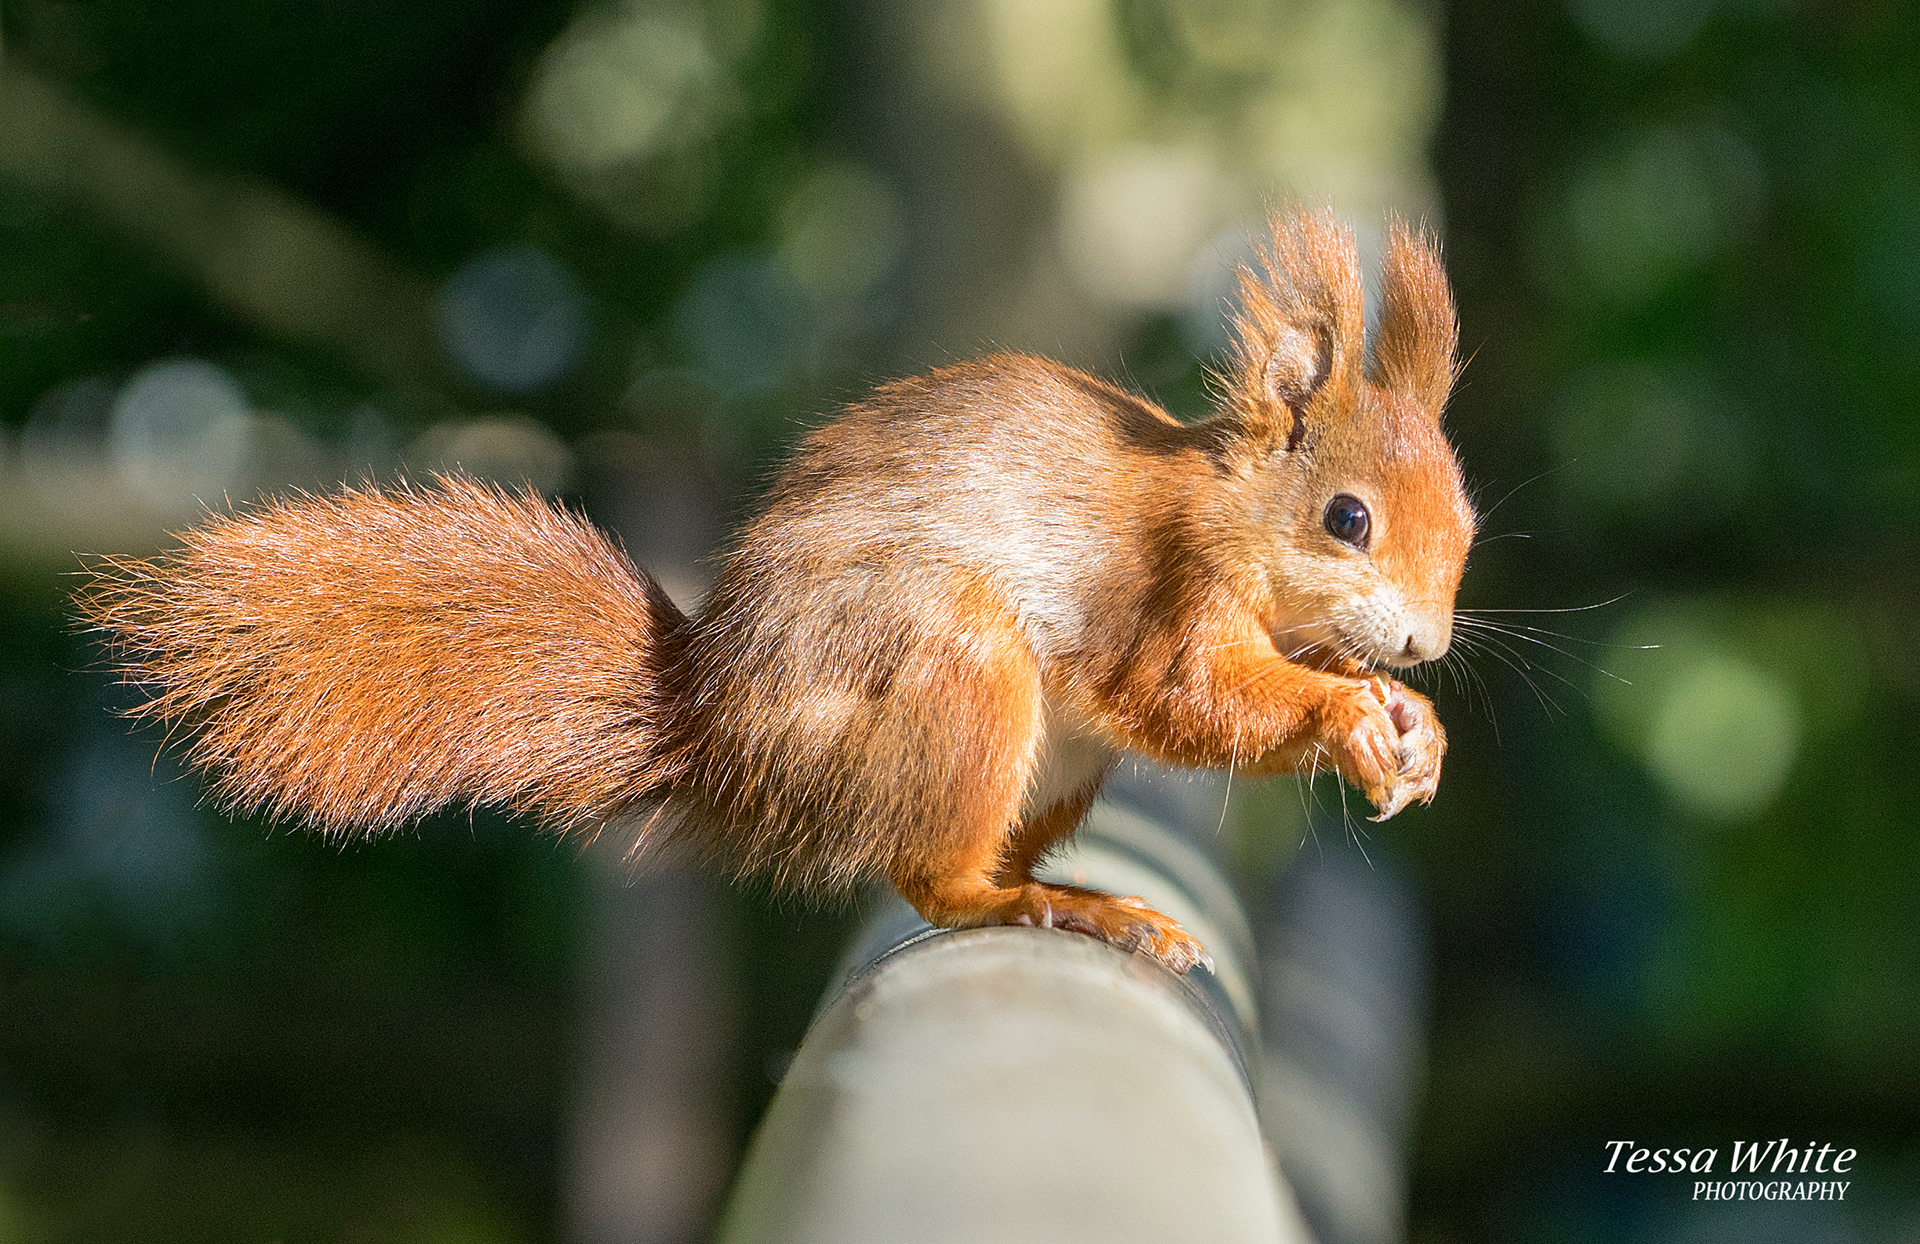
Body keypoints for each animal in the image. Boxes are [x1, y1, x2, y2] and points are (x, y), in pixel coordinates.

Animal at [78, 208, 1475, 975]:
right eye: (1348, 518)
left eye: (1464, 529)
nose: (1422, 640)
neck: (1225, 510)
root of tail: (723, 738)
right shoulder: (1161, 594)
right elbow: (1184, 692)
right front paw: (1349, 715)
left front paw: (1414, 729)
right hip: (961, 672)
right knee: (934, 883)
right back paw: (1055, 905)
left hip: (1049, 762)